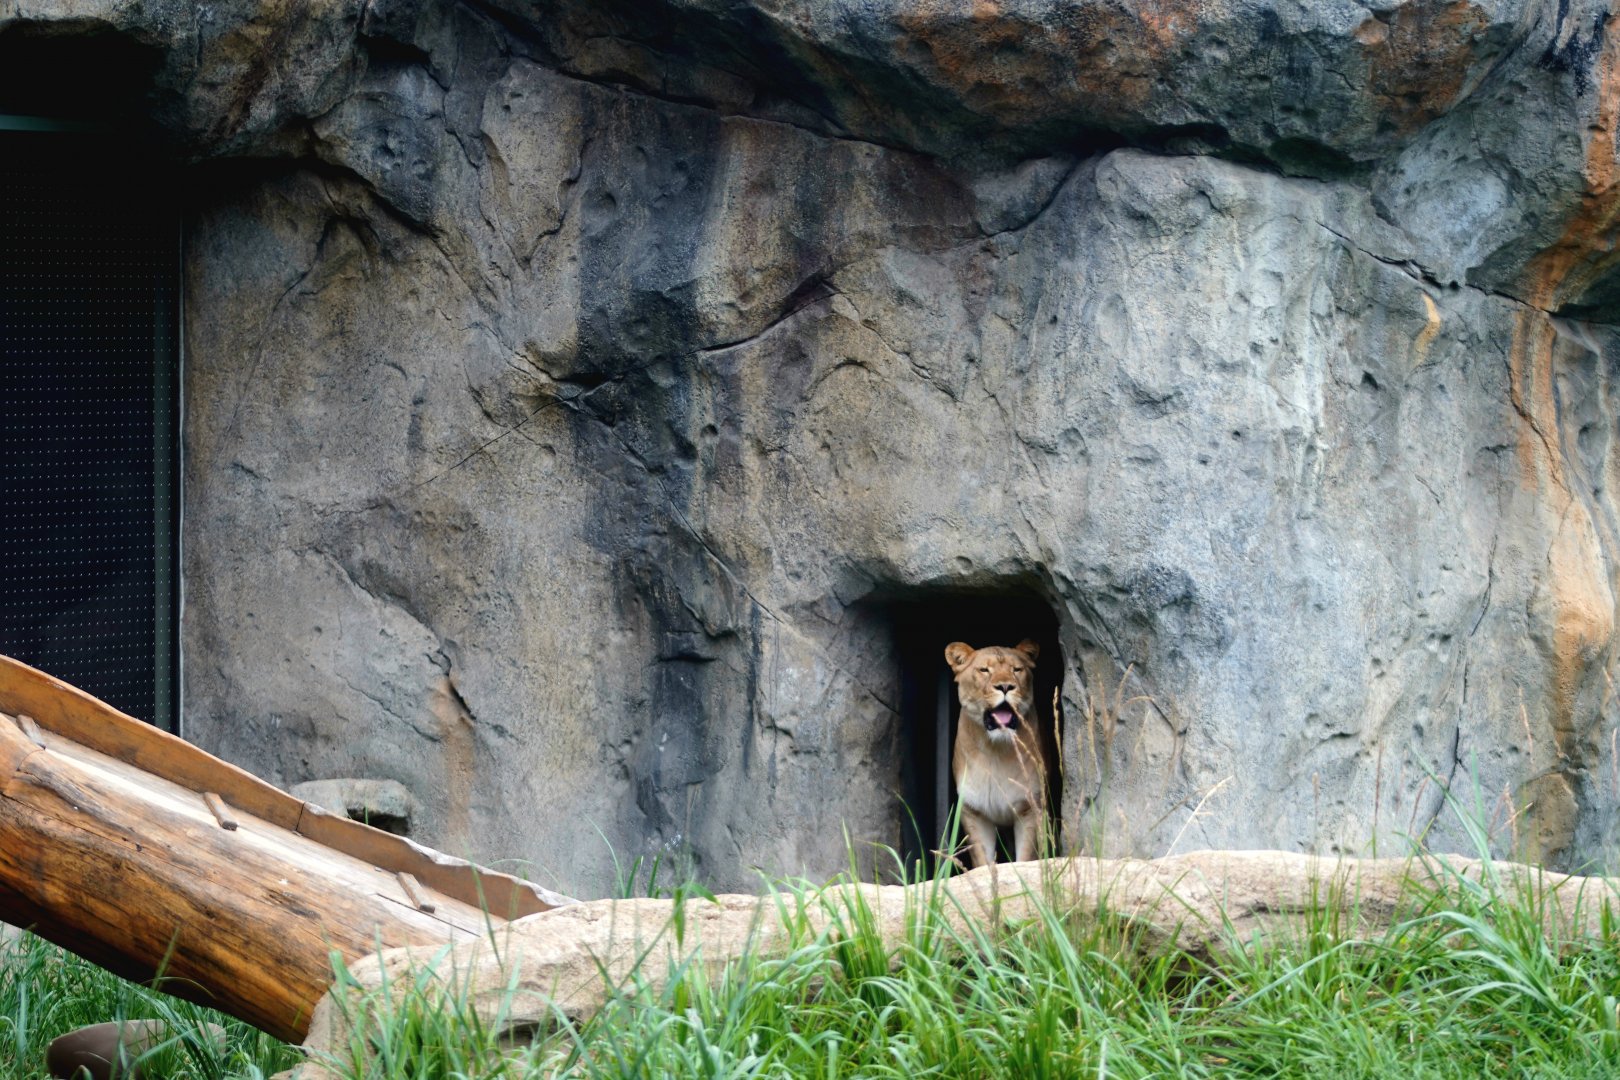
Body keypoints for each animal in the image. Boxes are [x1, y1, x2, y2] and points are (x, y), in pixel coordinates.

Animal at [944, 639, 1046, 868]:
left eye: (1016, 669)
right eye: (984, 670)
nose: (1006, 686)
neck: (995, 750)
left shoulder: (1030, 806)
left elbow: (1025, 858)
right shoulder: (974, 811)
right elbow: (983, 861)